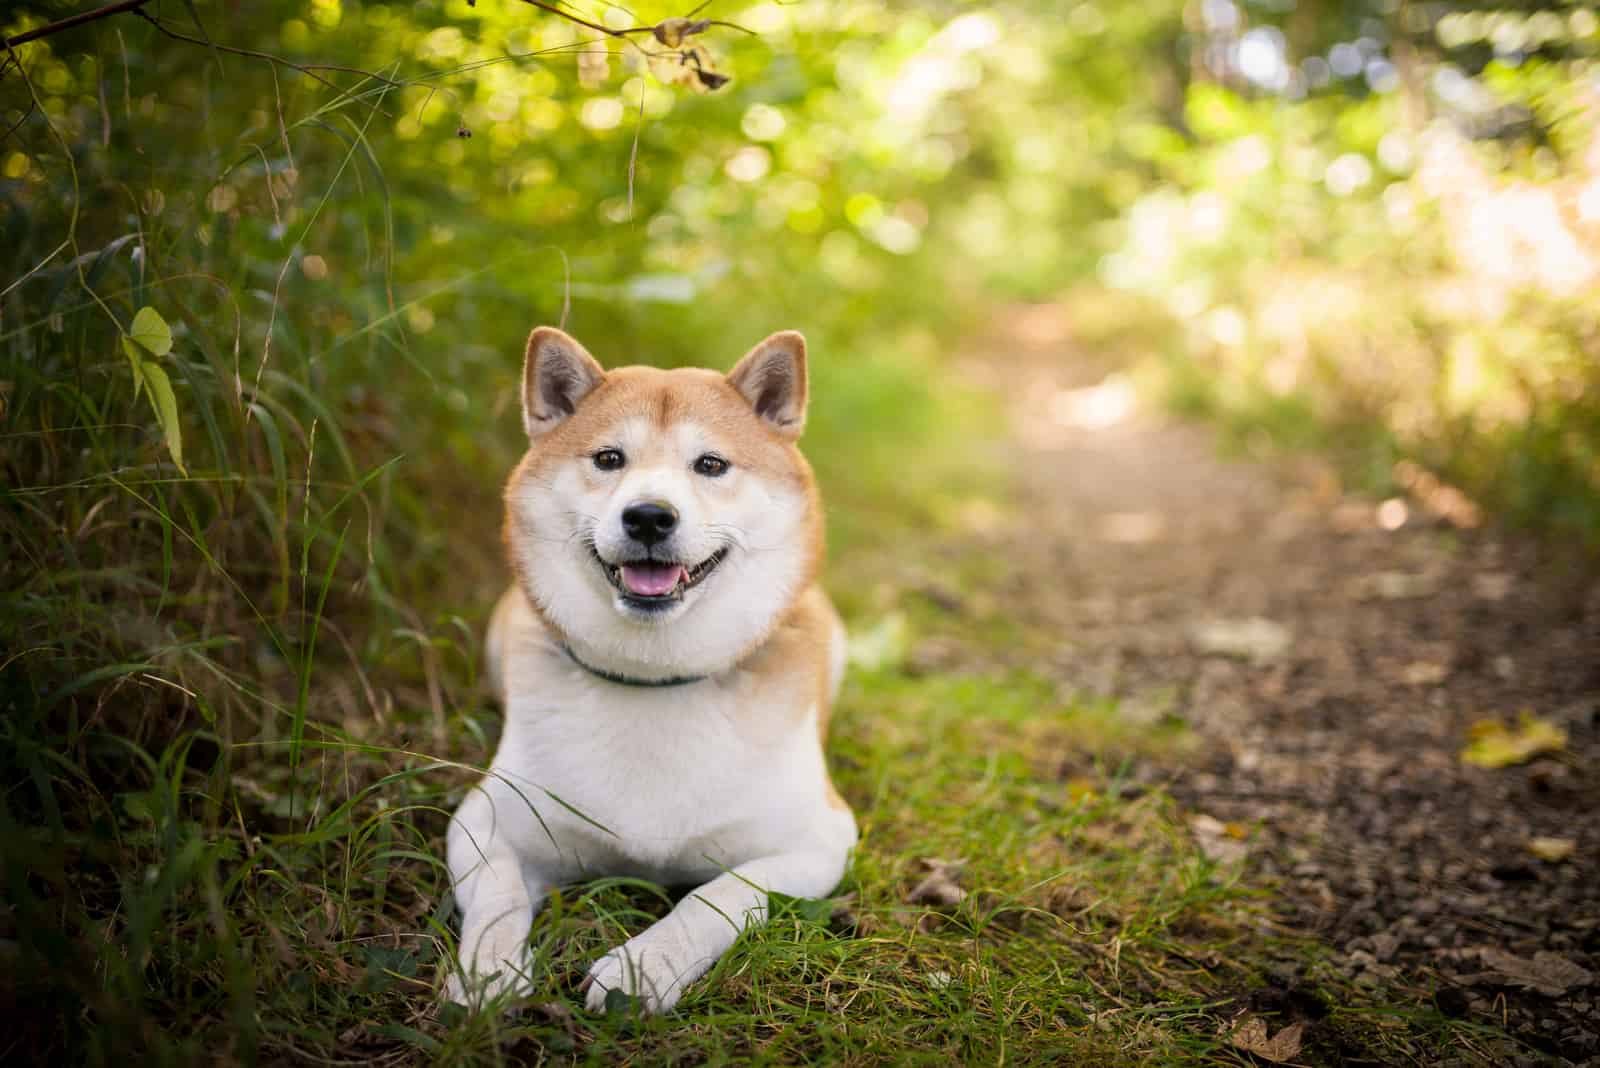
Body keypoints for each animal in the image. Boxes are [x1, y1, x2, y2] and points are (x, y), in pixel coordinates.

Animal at [444, 327, 857, 1016]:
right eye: (609, 459)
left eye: (710, 465)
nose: (648, 516)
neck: (656, 681)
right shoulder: (485, 823)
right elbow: (499, 899)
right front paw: (486, 972)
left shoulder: (817, 841)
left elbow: (718, 896)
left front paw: (645, 966)